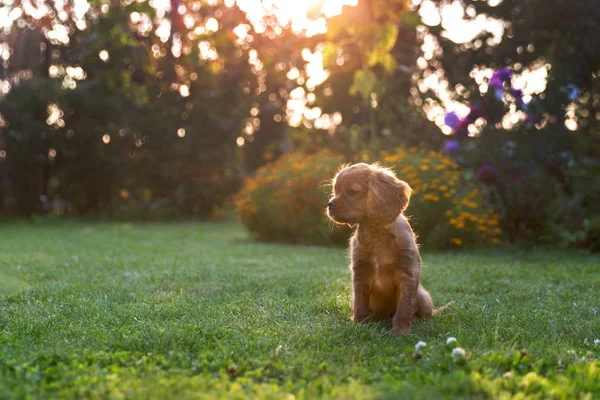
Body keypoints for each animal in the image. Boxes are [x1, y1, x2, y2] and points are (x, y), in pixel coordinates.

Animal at [328, 162, 450, 334]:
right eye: (335, 190)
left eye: (351, 191)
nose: (329, 204)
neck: (376, 233)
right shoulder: (359, 274)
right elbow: (359, 304)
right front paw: (359, 325)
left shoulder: (408, 275)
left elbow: (404, 308)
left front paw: (400, 332)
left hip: (423, 296)